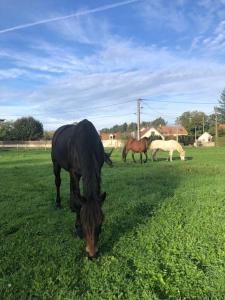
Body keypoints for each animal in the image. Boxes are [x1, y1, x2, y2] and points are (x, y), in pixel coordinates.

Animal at [51, 119, 110, 258]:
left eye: (101, 222)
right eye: (83, 223)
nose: (92, 254)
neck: (86, 140)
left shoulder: (97, 170)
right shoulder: (75, 172)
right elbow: (78, 201)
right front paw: (77, 228)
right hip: (56, 164)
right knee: (58, 183)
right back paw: (58, 203)